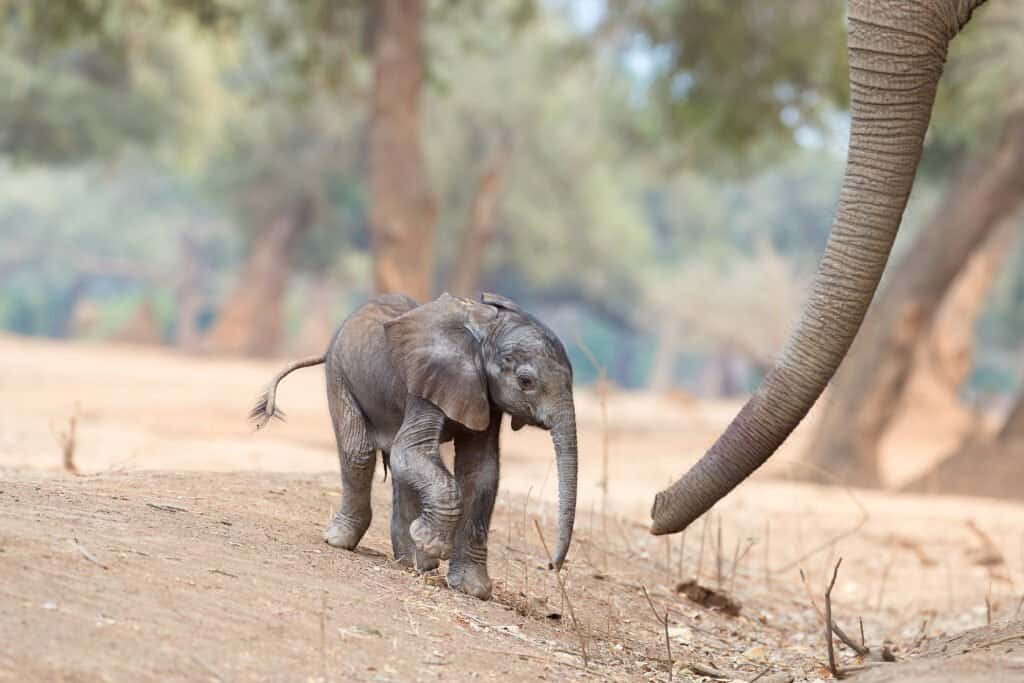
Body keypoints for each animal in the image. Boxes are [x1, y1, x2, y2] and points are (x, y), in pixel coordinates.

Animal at [249, 292, 577, 598]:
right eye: (526, 381)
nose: (551, 565)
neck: (485, 328)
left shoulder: (485, 395)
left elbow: (481, 472)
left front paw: (471, 589)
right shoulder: (431, 377)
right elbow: (410, 451)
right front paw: (430, 541)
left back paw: (412, 563)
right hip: (340, 372)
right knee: (360, 452)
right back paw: (341, 541)